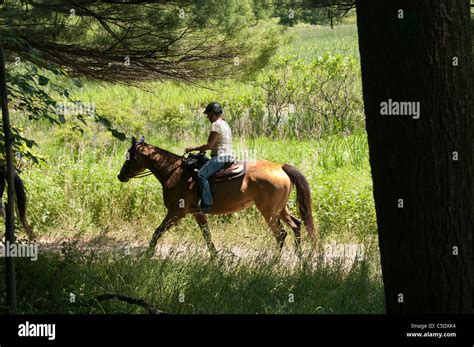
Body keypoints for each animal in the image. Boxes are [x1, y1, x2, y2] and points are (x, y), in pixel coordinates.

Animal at [116, 137, 316, 256]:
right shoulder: (198, 214)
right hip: (281, 209)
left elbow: (157, 232)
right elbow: (207, 236)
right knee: (296, 225)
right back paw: (299, 256)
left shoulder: (176, 212)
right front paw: (215, 258)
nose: (120, 176)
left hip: (269, 212)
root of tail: (280, 167)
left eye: (128, 156)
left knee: (281, 234)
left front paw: (148, 254)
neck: (175, 173)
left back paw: (274, 261)